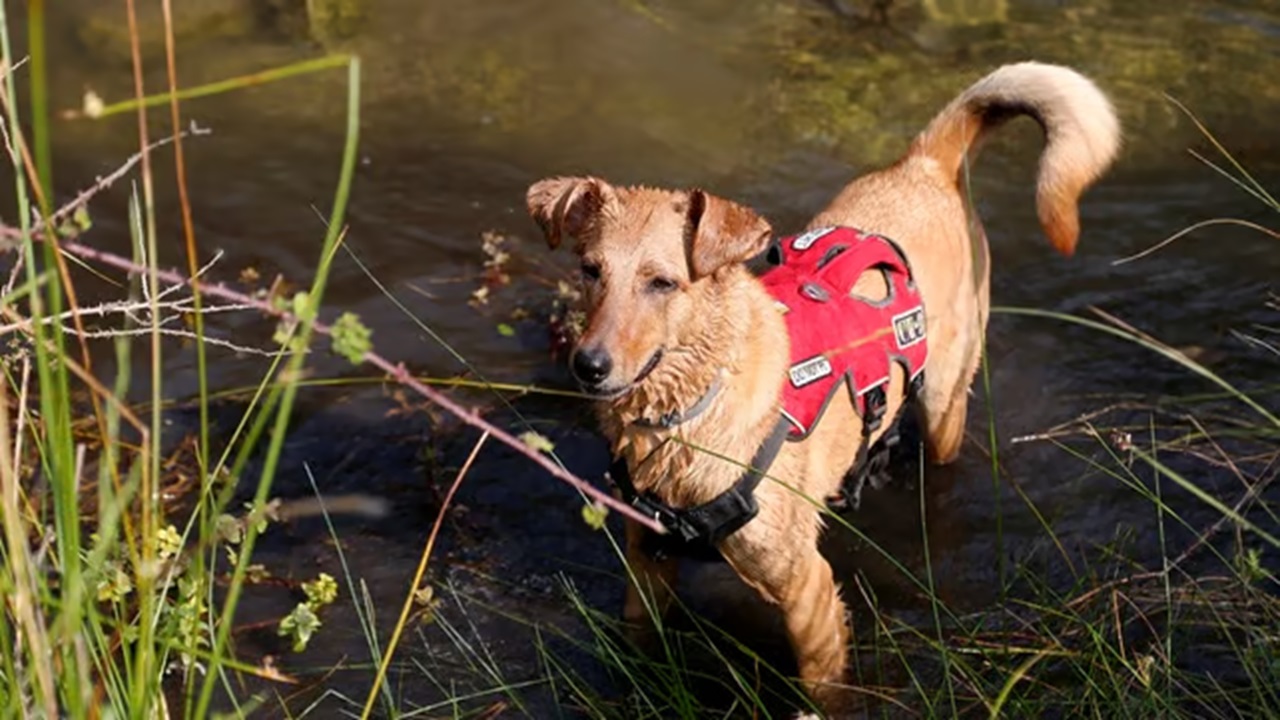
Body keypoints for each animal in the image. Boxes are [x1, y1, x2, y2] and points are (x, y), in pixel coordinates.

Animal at [524, 61, 1116, 712]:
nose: (589, 365)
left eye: (662, 283)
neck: (688, 415)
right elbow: (641, 647)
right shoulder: (647, 565)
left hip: (944, 401)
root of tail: (923, 165)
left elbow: (825, 692)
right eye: (590, 271)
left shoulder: (808, 593)